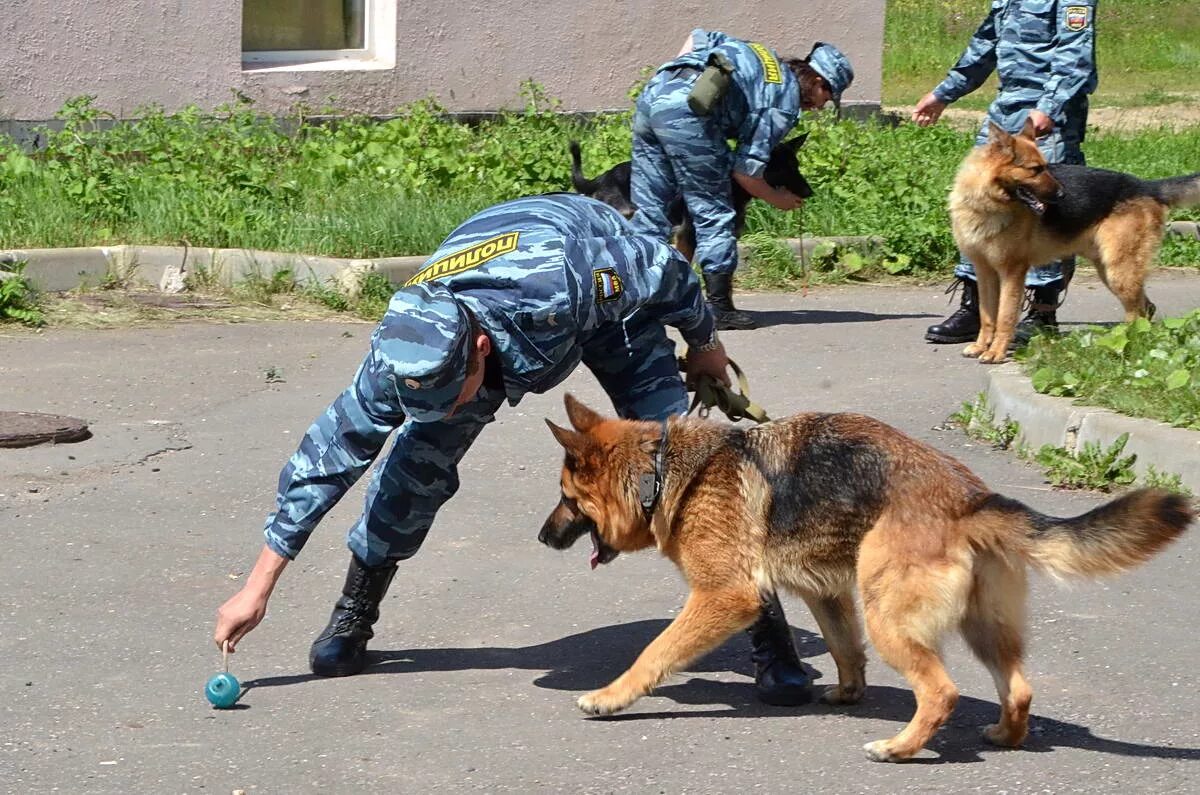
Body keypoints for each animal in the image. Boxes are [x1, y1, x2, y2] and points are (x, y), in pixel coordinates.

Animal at [537, 396, 1190, 763]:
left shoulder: (725, 596)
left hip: (891, 618)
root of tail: (969, 499)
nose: (542, 538)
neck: (661, 470)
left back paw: (900, 748)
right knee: (1020, 688)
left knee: (942, 692)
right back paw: (1006, 736)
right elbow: (843, 648)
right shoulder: (826, 592)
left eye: (567, 498)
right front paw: (848, 693)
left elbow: (654, 652)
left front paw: (611, 697)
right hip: (980, 627)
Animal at [571, 136, 816, 261]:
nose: (809, 192)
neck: (733, 180)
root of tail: (602, 177)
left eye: (796, 165)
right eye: (784, 168)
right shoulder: (686, 236)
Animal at [945, 120, 1200, 362]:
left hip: (1119, 272)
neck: (987, 203)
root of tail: (1148, 187)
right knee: (1146, 308)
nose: (1062, 195)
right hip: (1109, 271)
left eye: (1046, 167)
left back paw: (1129, 344)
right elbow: (988, 316)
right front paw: (981, 346)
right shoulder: (984, 272)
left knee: (1136, 311)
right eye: (1035, 169)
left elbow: (1005, 316)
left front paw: (996, 352)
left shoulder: (1012, 272)